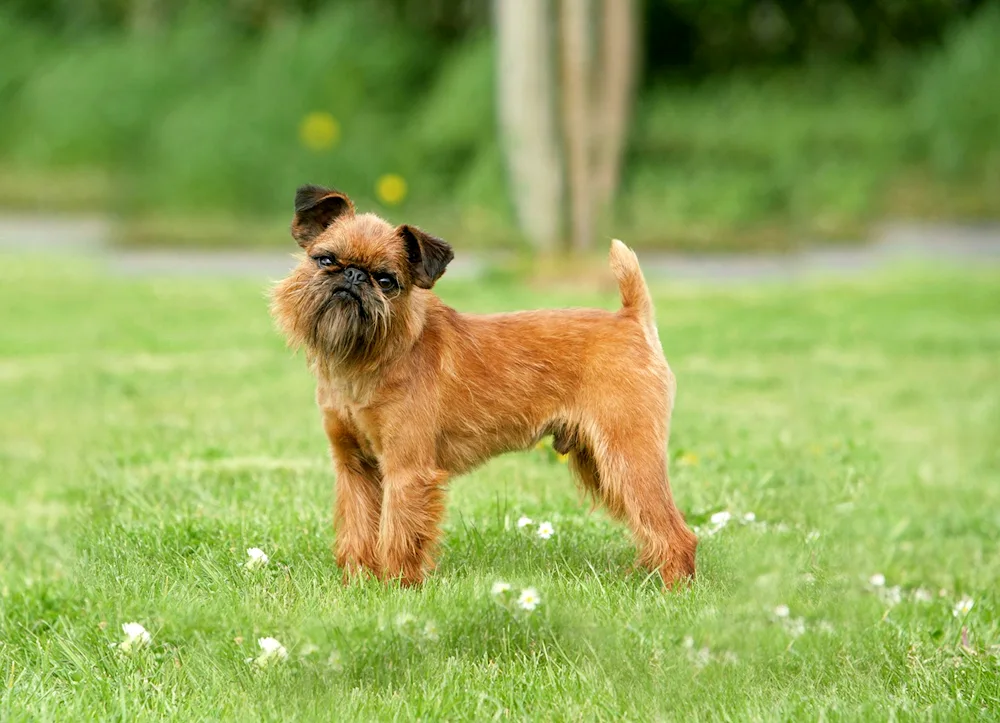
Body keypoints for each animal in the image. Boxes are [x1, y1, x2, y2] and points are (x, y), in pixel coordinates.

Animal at [270, 185, 700, 588]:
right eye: (325, 259)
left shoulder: (406, 470)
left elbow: (399, 532)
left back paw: (671, 590)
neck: (369, 357)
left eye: (387, 280)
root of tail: (630, 319)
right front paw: (359, 582)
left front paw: (395, 587)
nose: (353, 275)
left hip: (627, 456)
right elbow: (358, 529)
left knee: (676, 532)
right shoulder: (354, 468)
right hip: (601, 461)